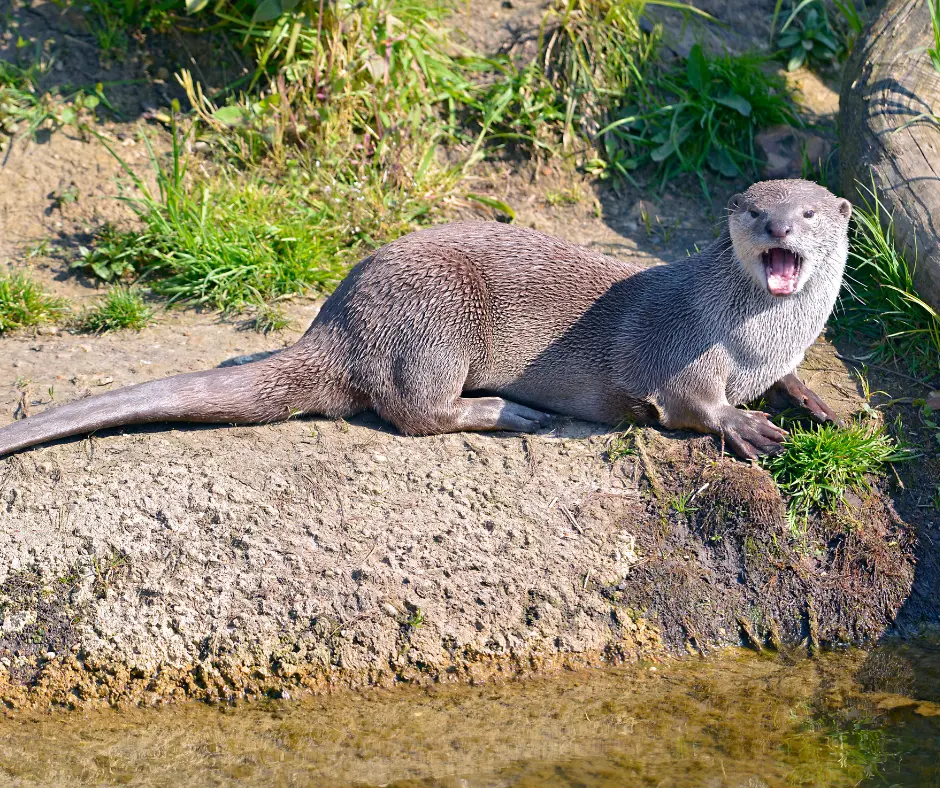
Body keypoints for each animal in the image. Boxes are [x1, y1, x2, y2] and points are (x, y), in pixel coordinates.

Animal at [0, 179, 848, 462]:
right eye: (753, 212)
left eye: (809, 213)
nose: (780, 228)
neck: (748, 341)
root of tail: (337, 320)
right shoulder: (675, 354)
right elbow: (693, 406)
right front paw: (746, 427)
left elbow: (794, 384)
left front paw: (821, 407)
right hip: (438, 320)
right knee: (412, 412)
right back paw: (506, 411)